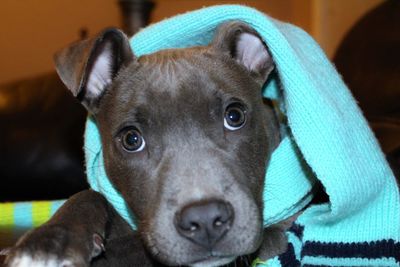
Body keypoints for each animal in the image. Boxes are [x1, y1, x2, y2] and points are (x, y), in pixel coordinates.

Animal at [4, 21, 290, 267]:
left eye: (235, 116)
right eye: (131, 139)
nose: (205, 219)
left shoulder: (279, 233)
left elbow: (134, 248)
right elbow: (87, 196)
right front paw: (47, 244)